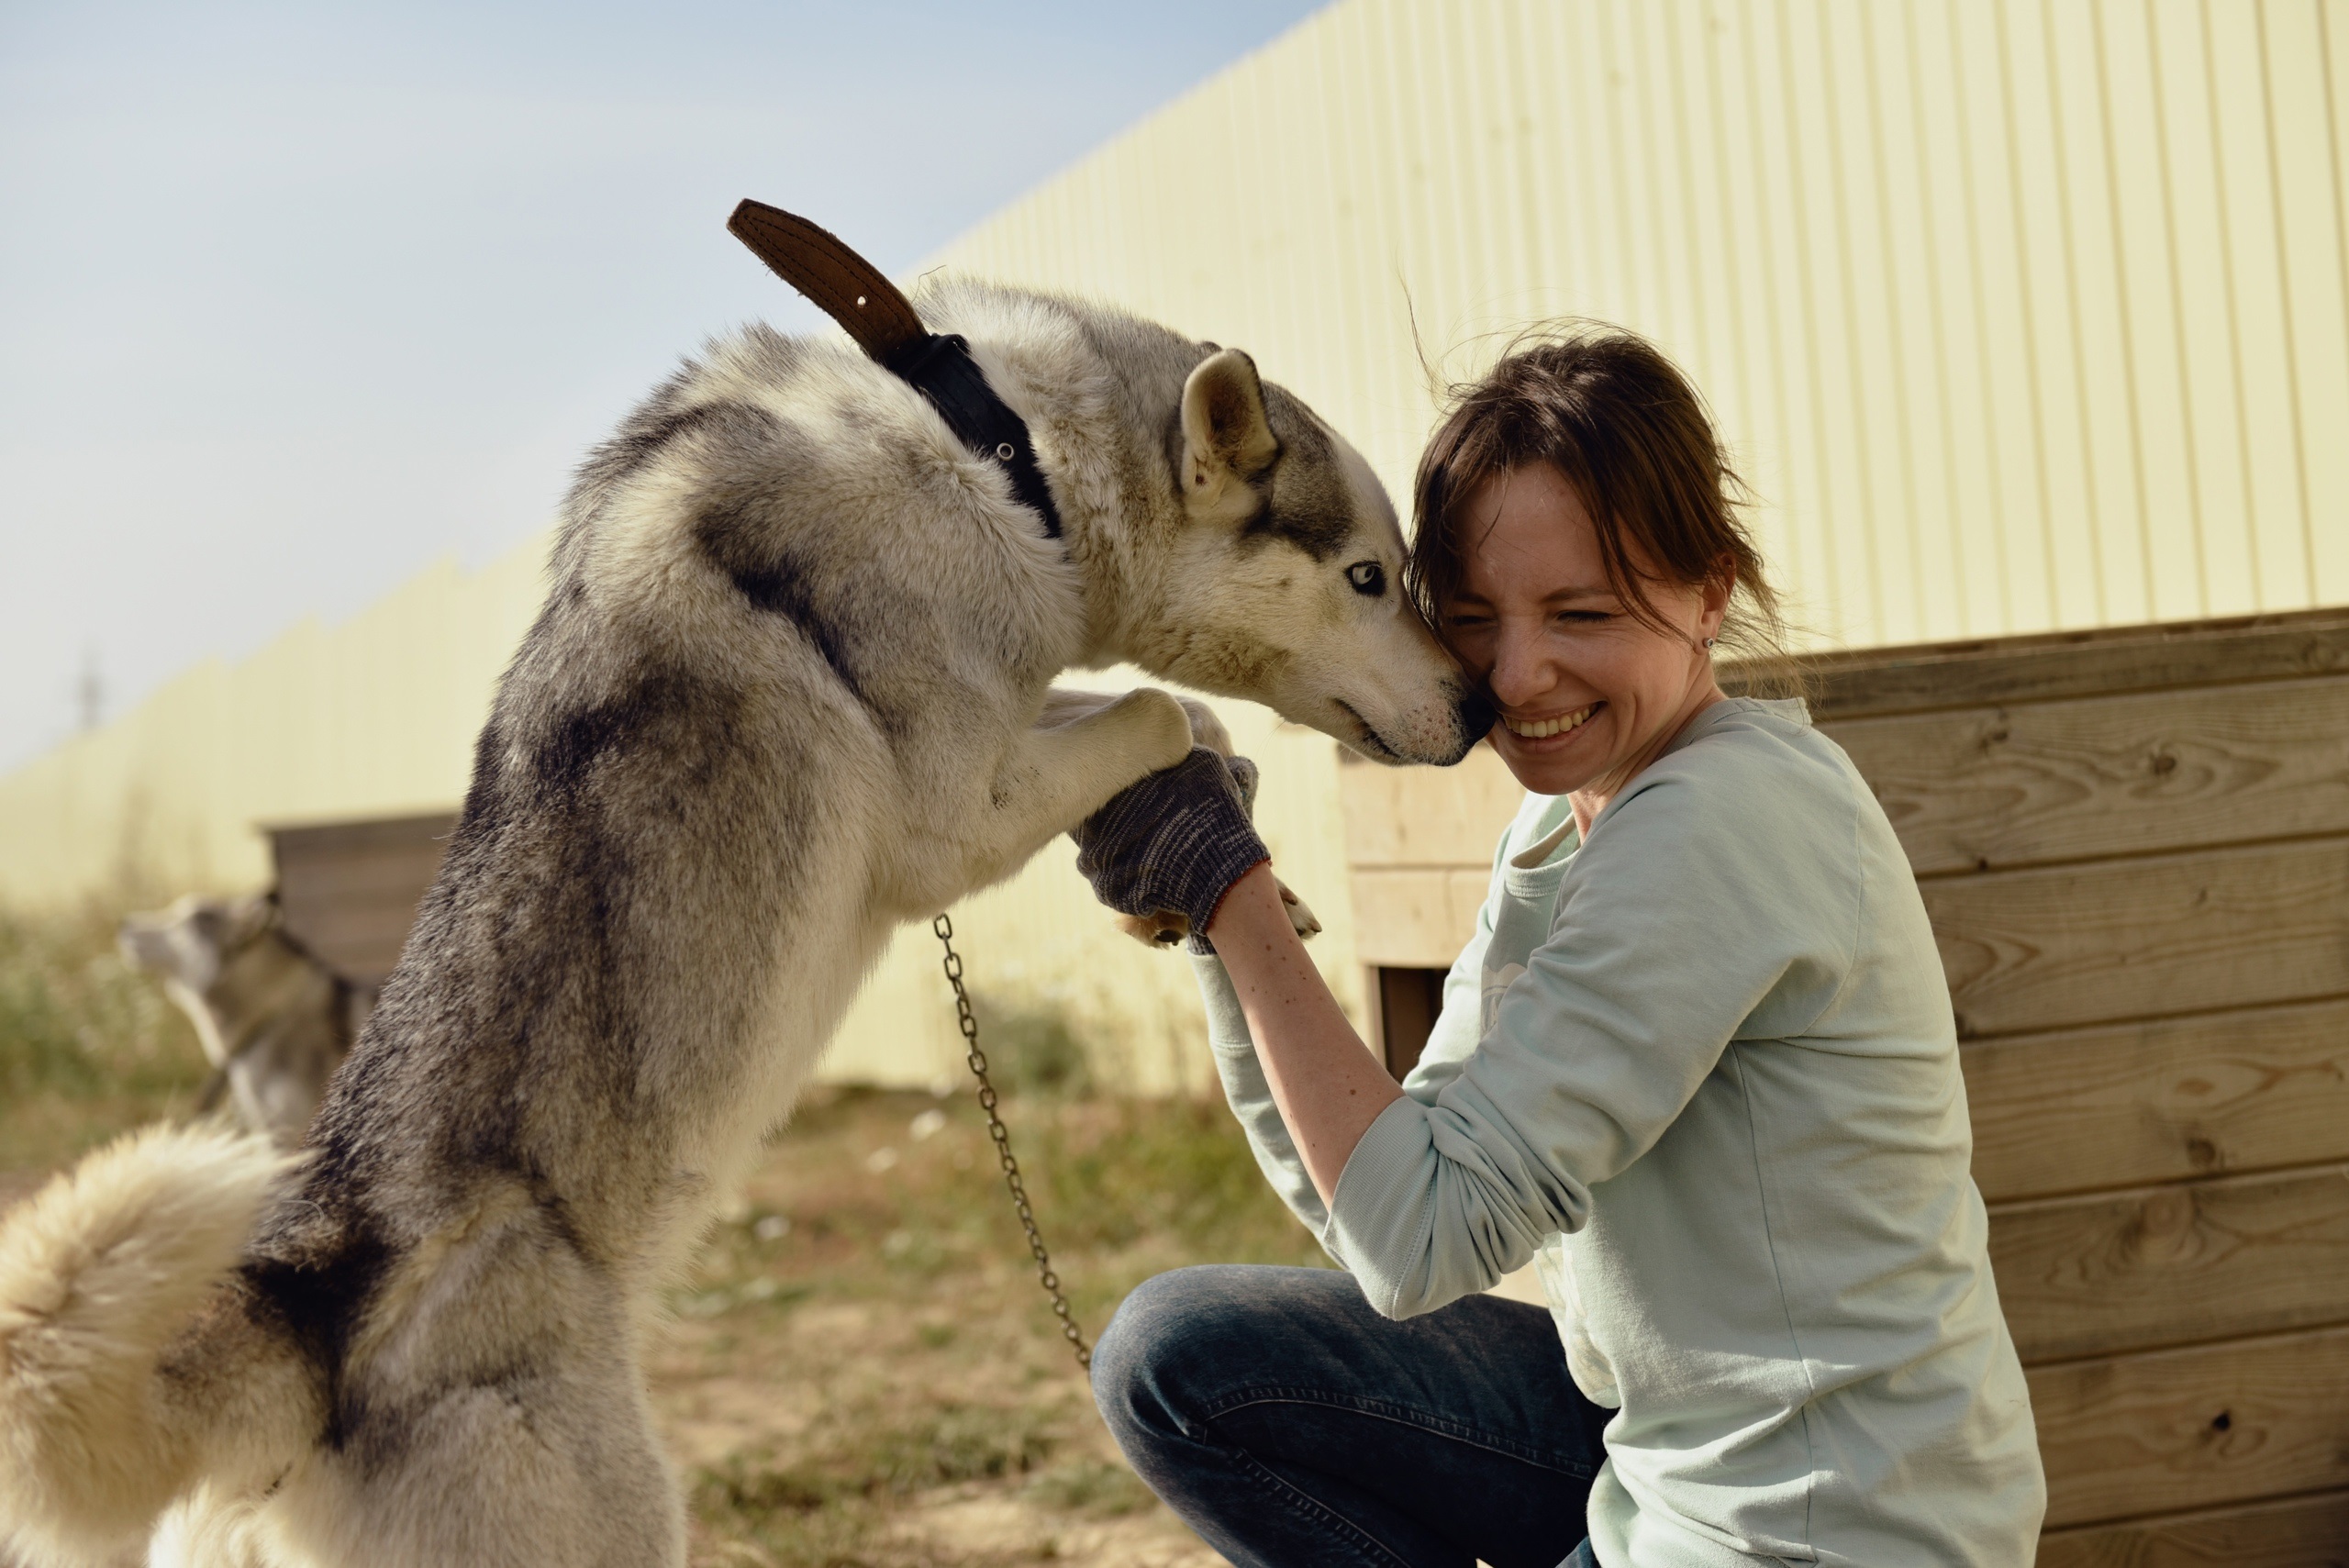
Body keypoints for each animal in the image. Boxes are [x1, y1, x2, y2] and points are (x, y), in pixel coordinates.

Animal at [0, 245, 1484, 1568]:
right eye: (1368, 575)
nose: (1477, 708)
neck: (1002, 455)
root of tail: (309, 1310)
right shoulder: (953, 817)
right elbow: (1158, 709)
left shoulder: (1011, 735)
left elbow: (1158, 722)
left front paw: (1231, 883)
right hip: (618, 1519)